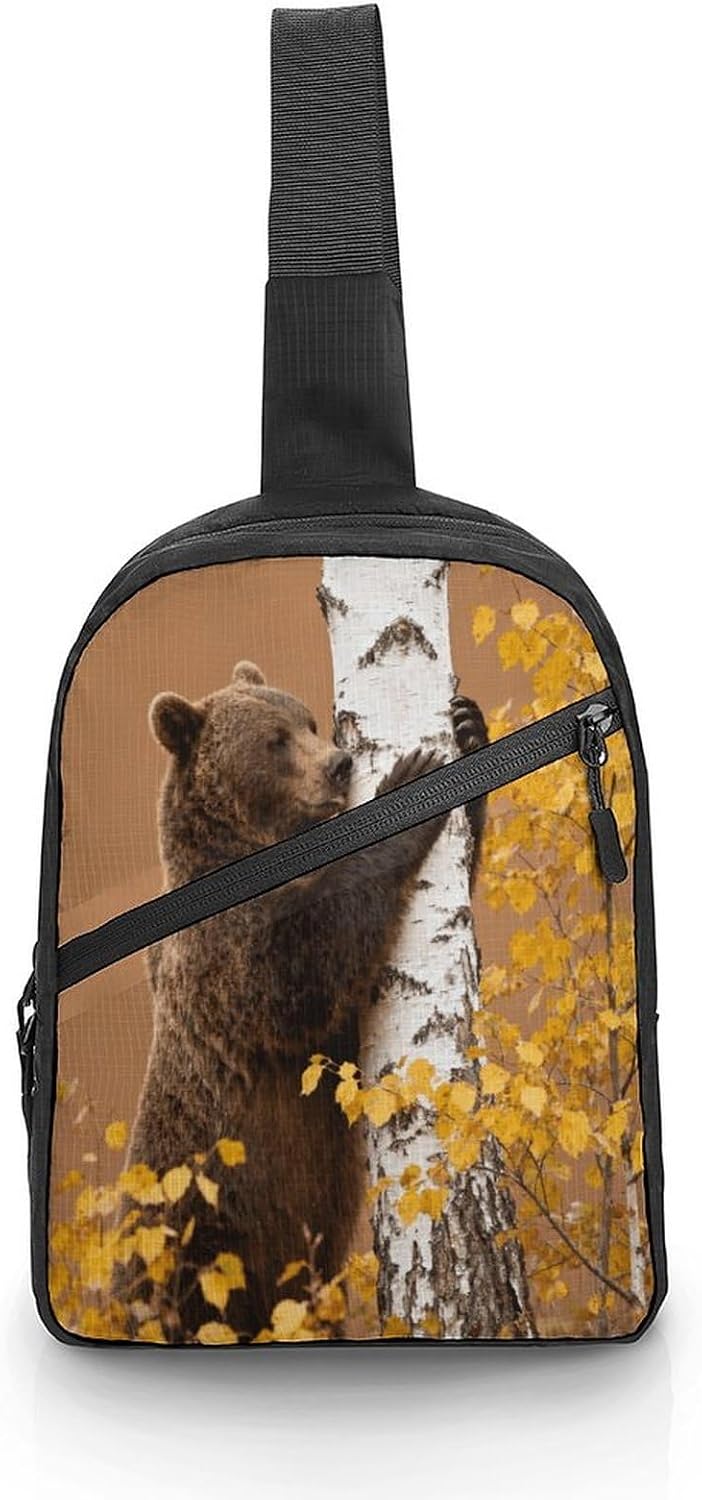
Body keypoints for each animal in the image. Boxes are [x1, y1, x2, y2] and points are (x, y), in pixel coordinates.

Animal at [127, 660, 487, 1339]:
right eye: (274, 740)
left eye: (309, 721)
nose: (340, 764)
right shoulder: (224, 960)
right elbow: (305, 968)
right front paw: (406, 787)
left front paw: (468, 729)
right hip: (205, 1246)